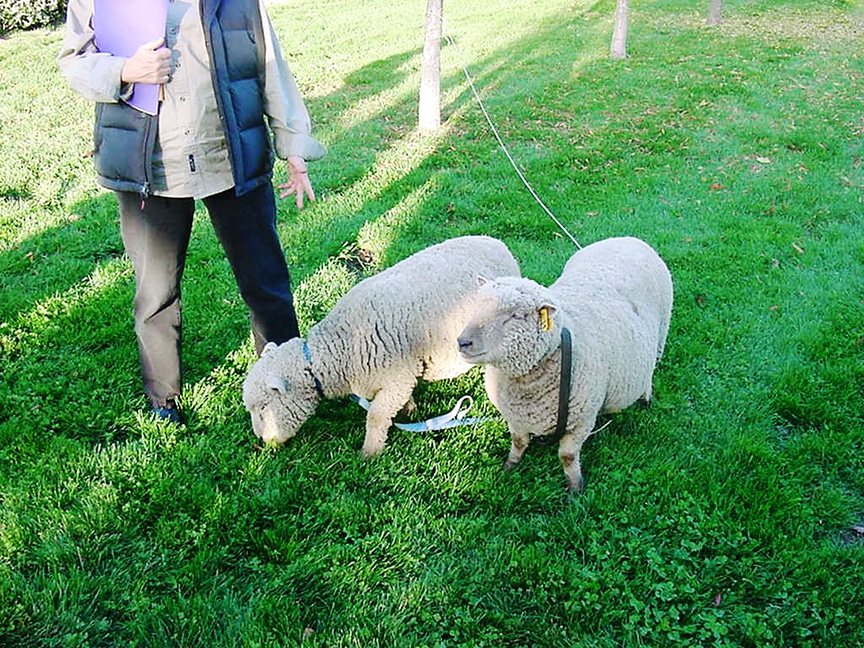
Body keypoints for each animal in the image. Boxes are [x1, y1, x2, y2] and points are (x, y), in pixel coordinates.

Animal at [242, 235, 521, 456]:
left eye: (264, 407)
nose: (262, 441)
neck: (339, 349)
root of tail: (496, 242)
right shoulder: (402, 377)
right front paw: (409, 411)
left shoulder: (396, 377)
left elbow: (375, 416)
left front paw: (369, 453)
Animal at [456, 236, 673, 492]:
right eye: (476, 306)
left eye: (516, 316)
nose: (462, 342)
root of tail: (629, 238)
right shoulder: (516, 416)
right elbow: (518, 442)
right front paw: (510, 465)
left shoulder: (581, 420)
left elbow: (567, 456)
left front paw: (575, 487)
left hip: (659, 341)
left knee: (650, 373)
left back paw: (646, 398)